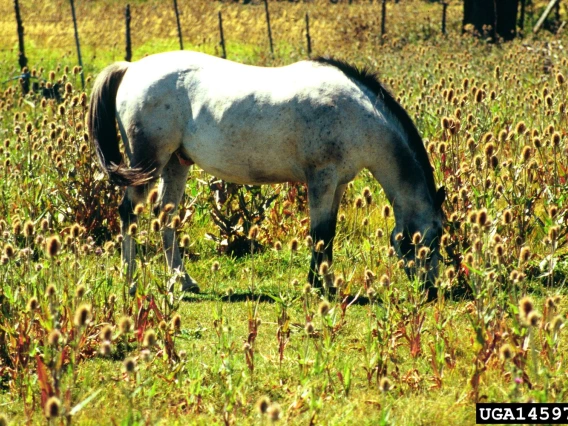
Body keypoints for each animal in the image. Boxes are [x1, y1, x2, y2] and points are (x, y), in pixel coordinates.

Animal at [87, 50, 444, 296]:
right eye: (434, 236)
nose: (430, 288)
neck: (355, 113)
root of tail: (131, 67)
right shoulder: (321, 179)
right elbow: (320, 233)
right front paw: (317, 284)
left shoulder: (338, 184)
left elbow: (328, 235)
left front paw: (326, 282)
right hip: (148, 163)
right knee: (129, 213)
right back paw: (130, 280)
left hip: (176, 163)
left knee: (165, 216)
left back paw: (183, 280)